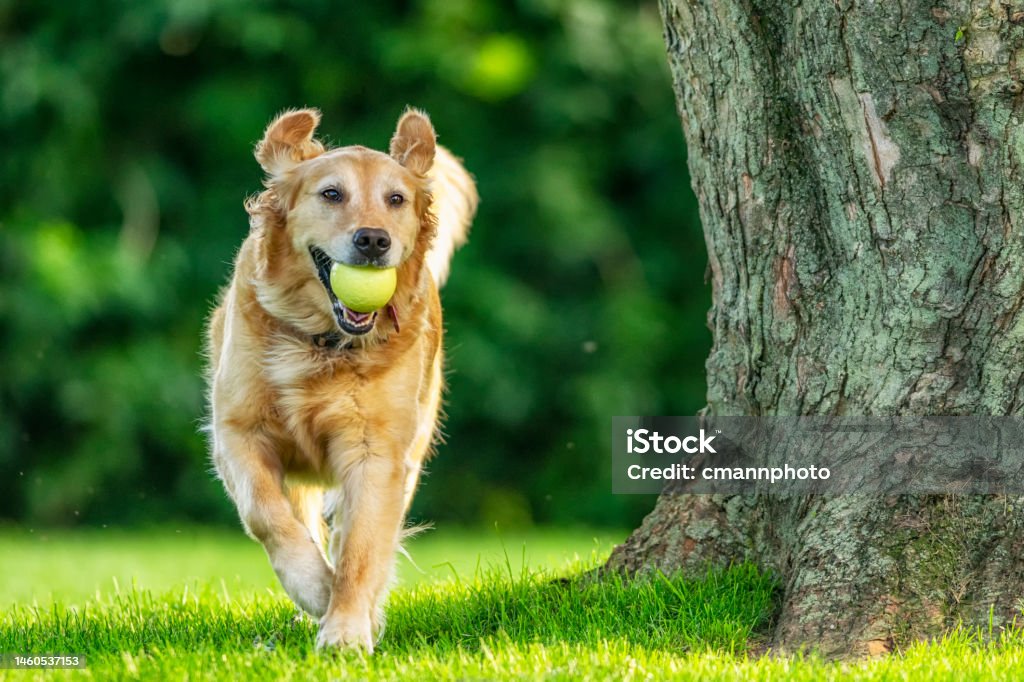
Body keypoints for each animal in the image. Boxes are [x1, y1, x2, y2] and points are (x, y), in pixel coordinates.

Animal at [206, 107, 479, 647]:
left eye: (396, 199)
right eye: (331, 194)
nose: (373, 240)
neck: (321, 344)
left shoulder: (378, 453)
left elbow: (362, 548)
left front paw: (348, 630)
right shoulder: (237, 432)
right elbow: (267, 515)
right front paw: (314, 588)